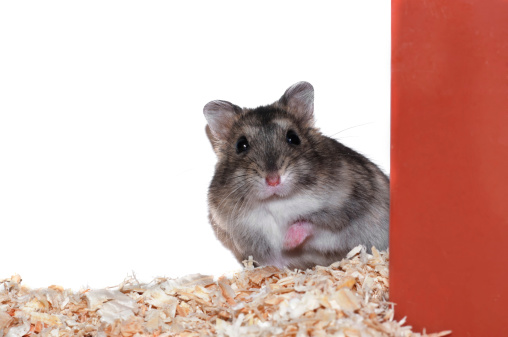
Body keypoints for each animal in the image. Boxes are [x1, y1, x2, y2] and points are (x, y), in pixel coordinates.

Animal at [202, 82, 388, 270]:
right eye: (241, 145)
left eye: (293, 137)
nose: (273, 180)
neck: (276, 201)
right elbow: (272, 260)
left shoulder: (344, 208)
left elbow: (311, 223)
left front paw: (288, 242)